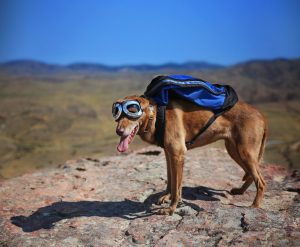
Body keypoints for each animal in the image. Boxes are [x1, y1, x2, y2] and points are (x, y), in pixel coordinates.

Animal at [113, 93, 268, 215]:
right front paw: (167, 196)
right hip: (234, 150)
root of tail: (261, 115)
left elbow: (176, 187)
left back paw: (254, 205)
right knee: (251, 175)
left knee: (261, 181)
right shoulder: (169, 154)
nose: (119, 131)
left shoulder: (178, 154)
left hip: (245, 152)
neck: (155, 115)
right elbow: (171, 181)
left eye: (132, 111)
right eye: (117, 114)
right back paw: (240, 191)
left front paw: (171, 209)